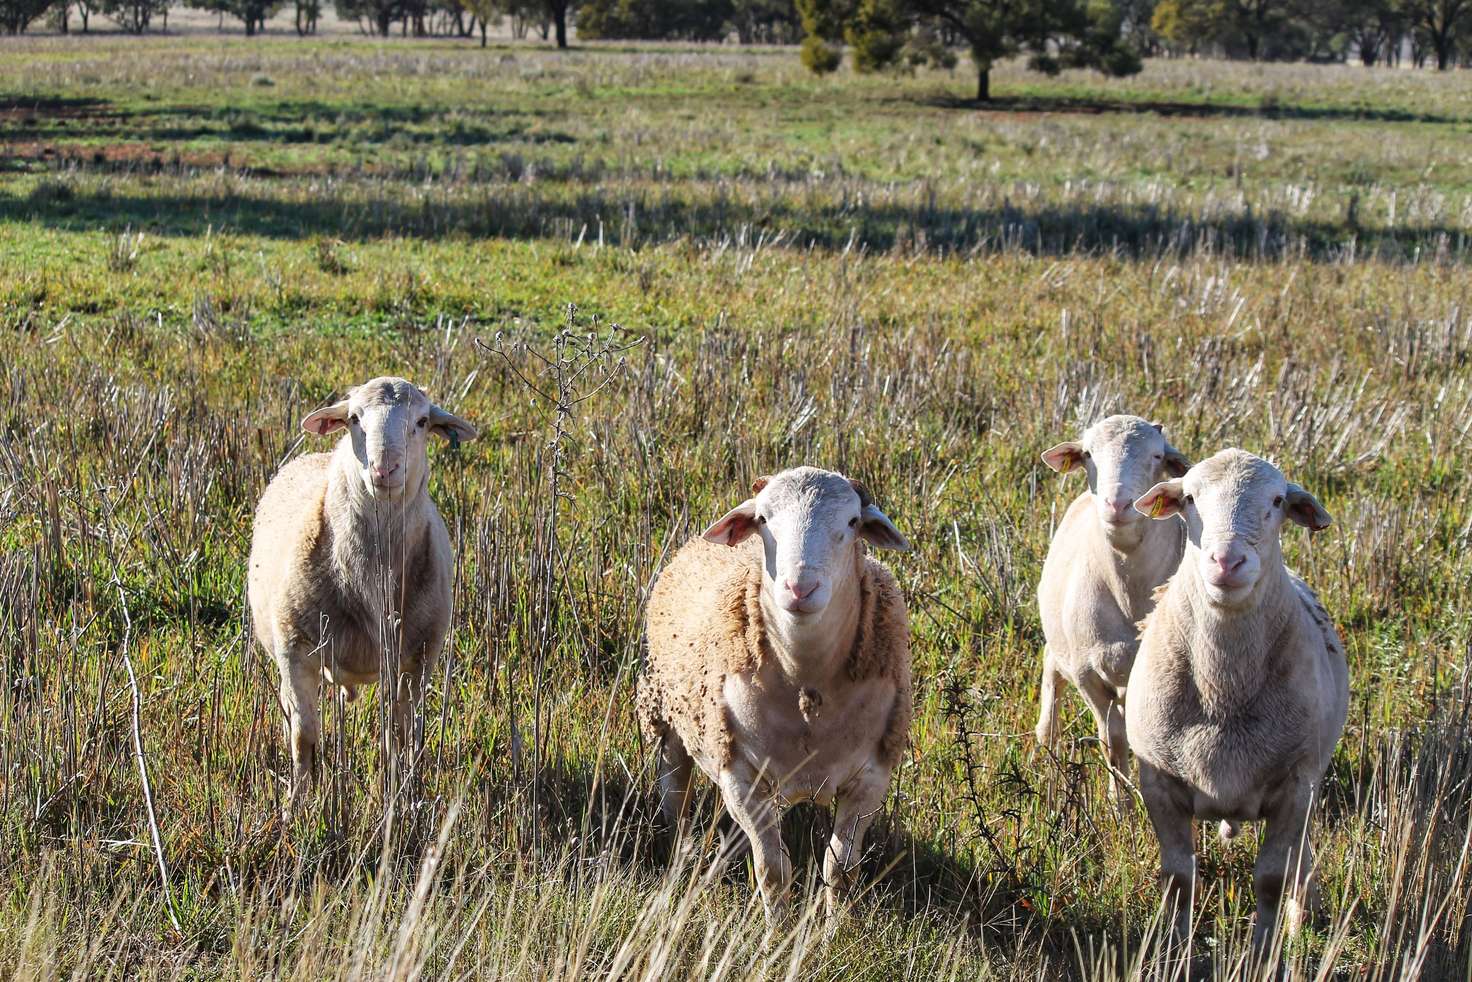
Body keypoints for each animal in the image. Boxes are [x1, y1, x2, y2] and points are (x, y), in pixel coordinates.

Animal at [247, 376, 476, 812]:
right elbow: (303, 736)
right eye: (354, 418)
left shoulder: (416, 659)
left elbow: (399, 735)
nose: (384, 468)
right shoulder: (294, 649)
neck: (371, 577)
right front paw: (295, 808)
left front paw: (400, 798)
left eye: (423, 421)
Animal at [638, 468, 912, 924]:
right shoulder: (741, 777)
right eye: (764, 519)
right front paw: (777, 930)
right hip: (671, 715)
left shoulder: (870, 780)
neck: (806, 681)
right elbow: (773, 869)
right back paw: (681, 852)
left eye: (853, 522)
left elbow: (840, 868)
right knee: (675, 789)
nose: (800, 588)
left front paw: (835, 929)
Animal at [1030, 415, 1189, 806]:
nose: (1117, 504)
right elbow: (1112, 743)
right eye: (1088, 454)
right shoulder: (1088, 674)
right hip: (1064, 648)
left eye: (1157, 456)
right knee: (1051, 689)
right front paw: (1122, 808)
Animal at [1124, 450, 1348, 954]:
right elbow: (1178, 879)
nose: (1227, 561)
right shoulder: (1158, 781)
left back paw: (1302, 917)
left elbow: (1271, 879)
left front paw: (1264, 951)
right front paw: (1177, 950)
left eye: (1279, 501)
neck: (1223, 691)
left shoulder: (1295, 785)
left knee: (1301, 854)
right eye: (1189, 498)